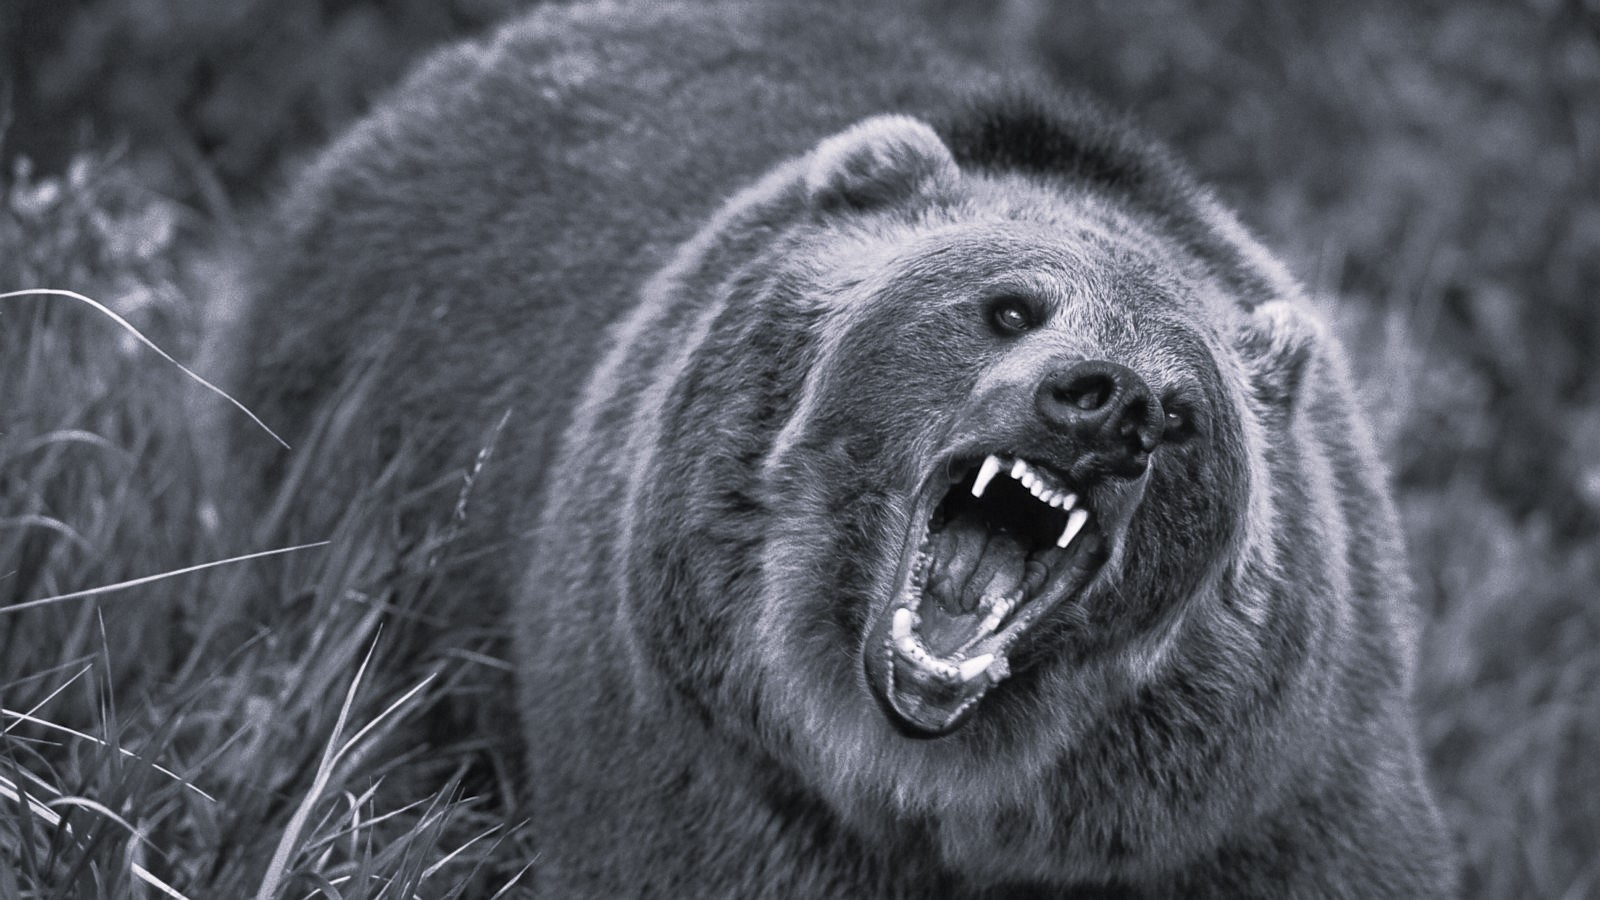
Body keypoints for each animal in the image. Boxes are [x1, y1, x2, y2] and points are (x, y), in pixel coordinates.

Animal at [219, 0, 1458, 896]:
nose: (1110, 405)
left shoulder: (1265, 803)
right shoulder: (708, 760)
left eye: (1187, 411)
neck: (930, 790)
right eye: (1011, 305)